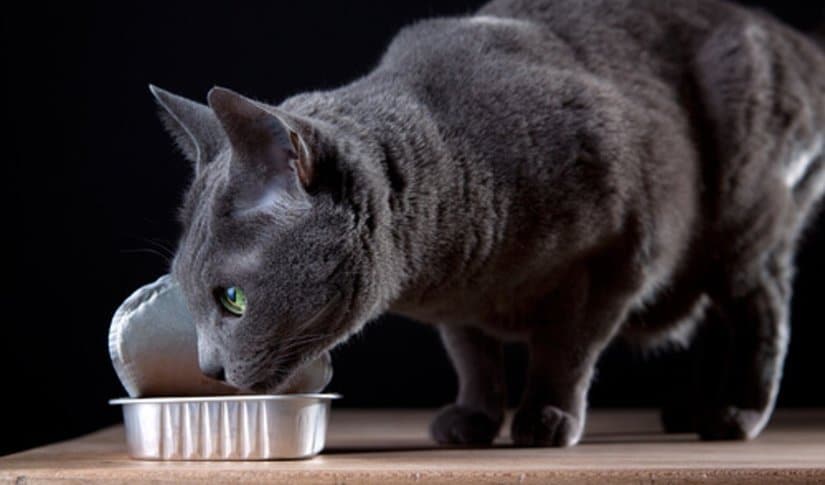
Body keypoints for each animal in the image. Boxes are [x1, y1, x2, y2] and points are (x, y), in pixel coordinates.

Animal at [153, 0, 824, 446]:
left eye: (233, 299)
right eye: (188, 295)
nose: (210, 369)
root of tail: (795, 39)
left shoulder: (615, 256)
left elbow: (565, 350)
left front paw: (545, 418)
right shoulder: (457, 304)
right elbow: (472, 356)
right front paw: (472, 419)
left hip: (743, 217)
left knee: (761, 311)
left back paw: (733, 414)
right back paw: (687, 408)